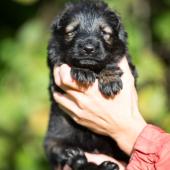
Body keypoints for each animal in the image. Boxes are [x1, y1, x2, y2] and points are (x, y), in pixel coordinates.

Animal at [44, 0, 137, 169]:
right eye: (72, 31)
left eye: (105, 33)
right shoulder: (55, 73)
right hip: (54, 143)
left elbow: (112, 63)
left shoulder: (128, 65)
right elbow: (66, 61)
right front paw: (82, 71)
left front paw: (109, 79)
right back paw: (80, 158)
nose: (88, 49)